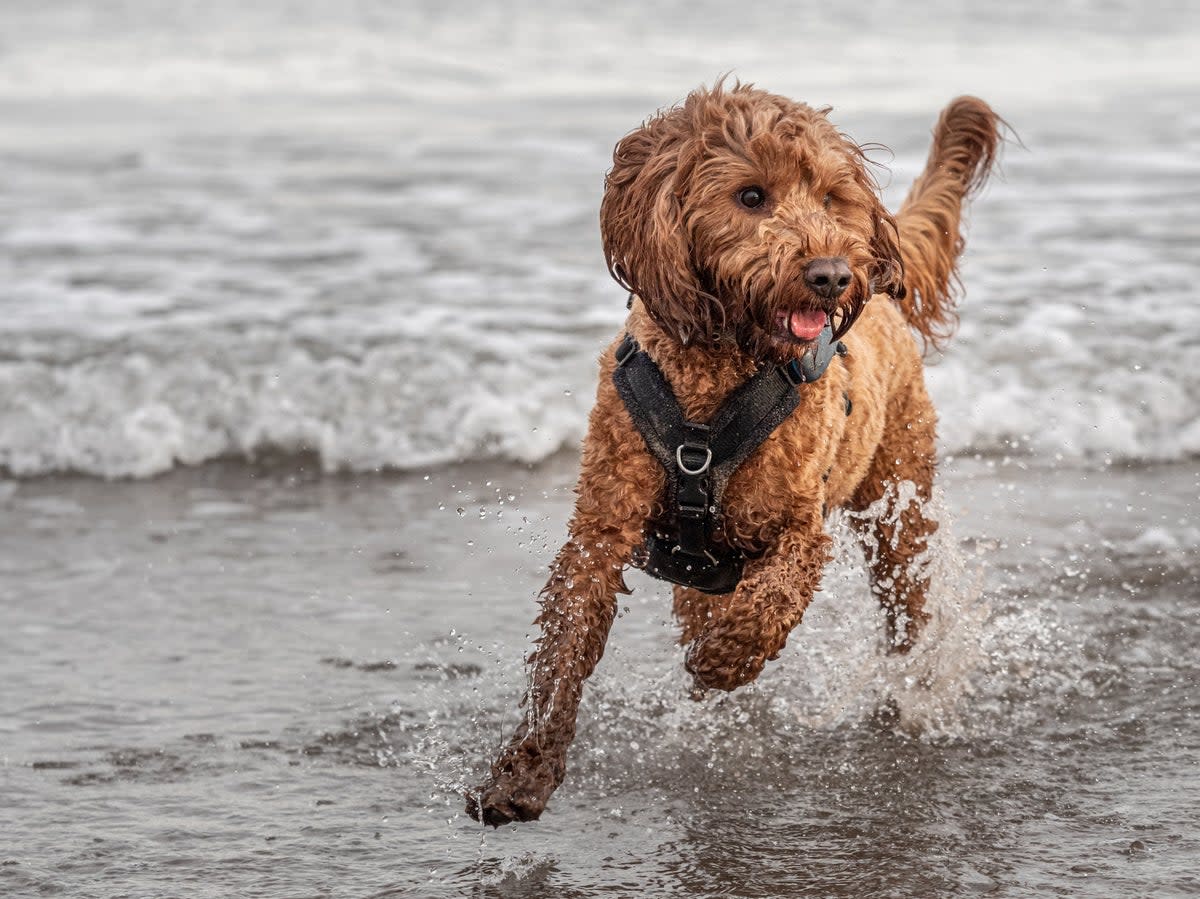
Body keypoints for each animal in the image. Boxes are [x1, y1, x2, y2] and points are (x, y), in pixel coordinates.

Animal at [468, 80, 1003, 825]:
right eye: (751, 196)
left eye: (831, 197)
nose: (832, 276)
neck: (717, 372)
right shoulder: (601, 528)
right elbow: (562, 649)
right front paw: (522, 773)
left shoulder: (799, 530)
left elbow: (769, 602)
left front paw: (724, 661)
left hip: (899, 503)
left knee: (906, 603)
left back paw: (905, 692)